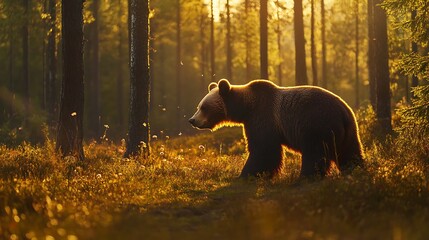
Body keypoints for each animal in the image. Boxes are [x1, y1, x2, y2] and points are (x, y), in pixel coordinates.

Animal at [189, 79, 362, 178]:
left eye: (204, 107)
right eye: (199, 106)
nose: (192, 120)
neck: (246, 108)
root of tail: (343, 111)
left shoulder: (263, 117)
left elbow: (263, 149)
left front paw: (248, 174)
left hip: (317, 124)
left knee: (315, 152)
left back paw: (306, 176)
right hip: (349, 131)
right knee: (349, 151)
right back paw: (355, 169)